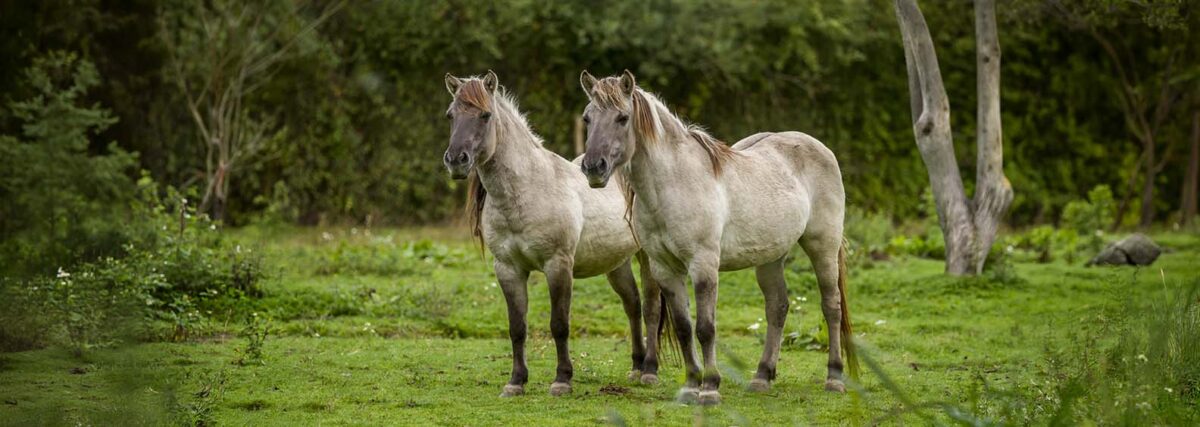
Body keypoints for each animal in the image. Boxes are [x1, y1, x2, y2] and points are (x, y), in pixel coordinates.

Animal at [442, 71, 655, 398]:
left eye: (485, 115)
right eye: (451, 115)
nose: (456, 160)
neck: (527, 190)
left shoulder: (558, 265)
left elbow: (559, 324)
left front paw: (562, 380)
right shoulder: (508, 269)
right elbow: (517, 326)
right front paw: (515, 382)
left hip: (648, 257)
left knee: (651, 307)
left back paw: (650, 371)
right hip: (616, 262)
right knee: (632, 305)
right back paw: (636, 366)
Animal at [577, 70, 858, 406]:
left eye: (622, 118)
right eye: (587, 118)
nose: (594, 168)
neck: (675, 183)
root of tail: (820, 148)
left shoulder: (703, 264)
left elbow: (705, 328)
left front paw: (710, 387)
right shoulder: (664, 268)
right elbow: (684, 328)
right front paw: (690, 386)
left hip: (822, 245)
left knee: (832, 305)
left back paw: (834, 377)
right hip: (771, 256)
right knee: (777, 307)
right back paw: (762, 376)